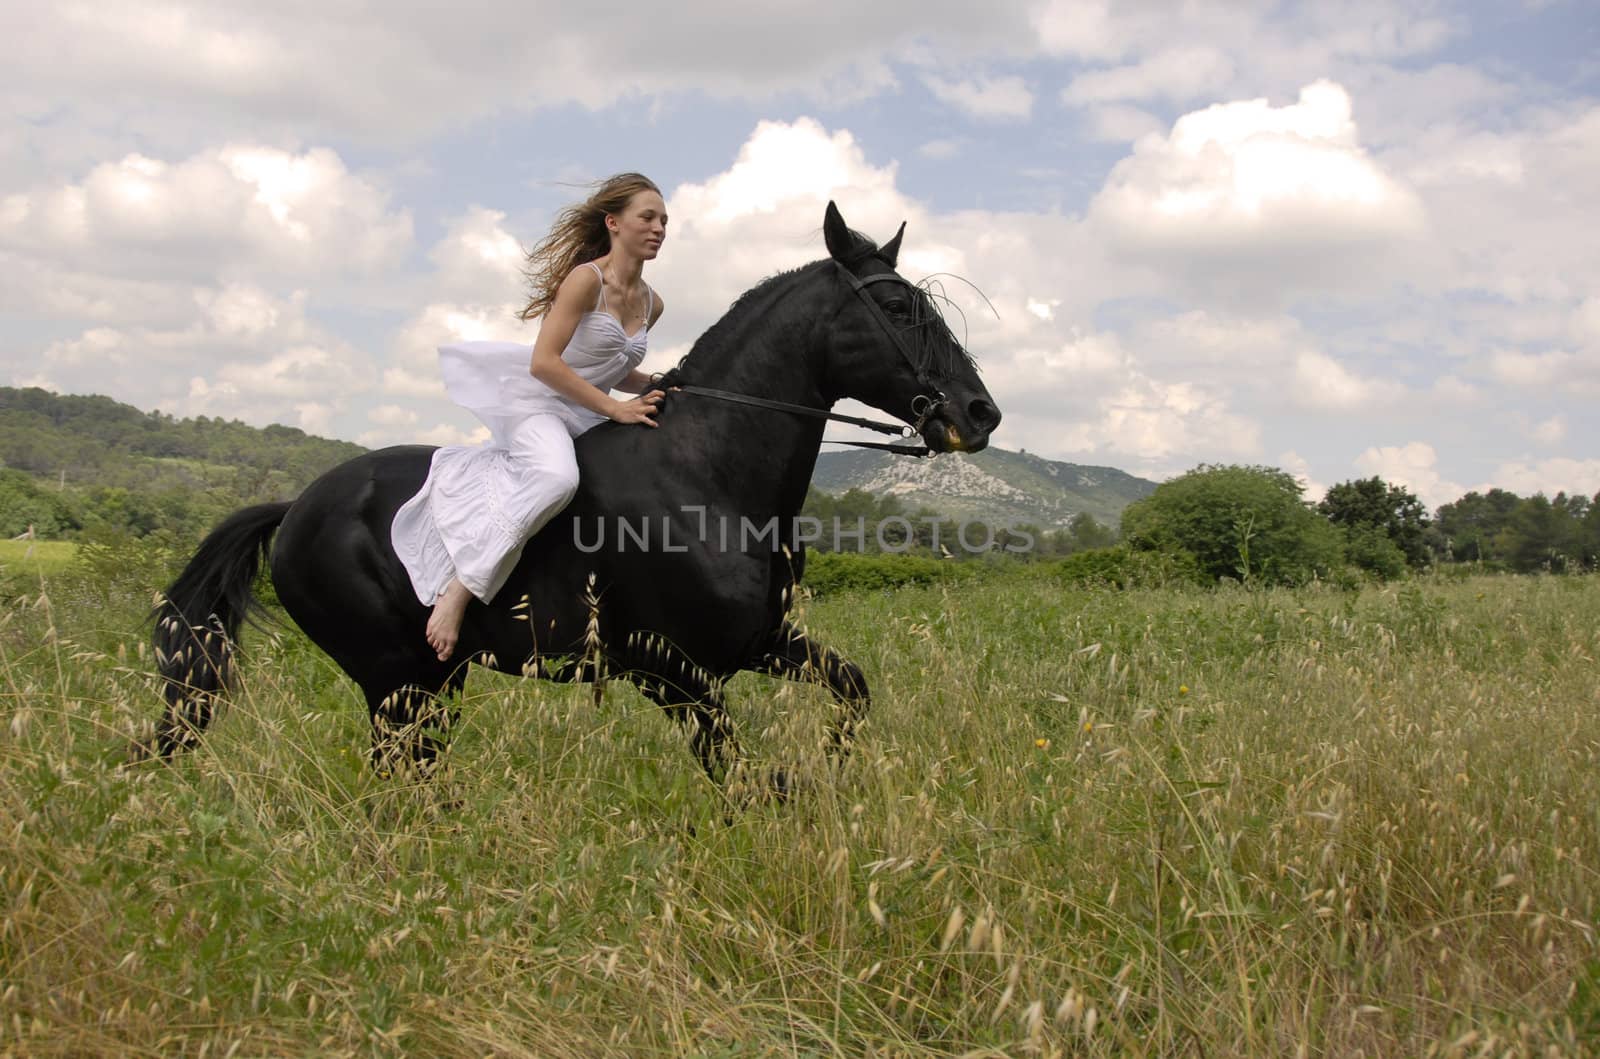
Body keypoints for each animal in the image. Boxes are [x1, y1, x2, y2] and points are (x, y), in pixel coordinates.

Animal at [147, 203, 998, 793]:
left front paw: (828, 767)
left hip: (431, 680)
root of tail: (293, 508)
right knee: (400, 776)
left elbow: (850, 691)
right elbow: (740, 775)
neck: (709, 476)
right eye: (898, 308)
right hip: (393, 677)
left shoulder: (759, 642)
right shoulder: (668, 669)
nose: (979, 412)